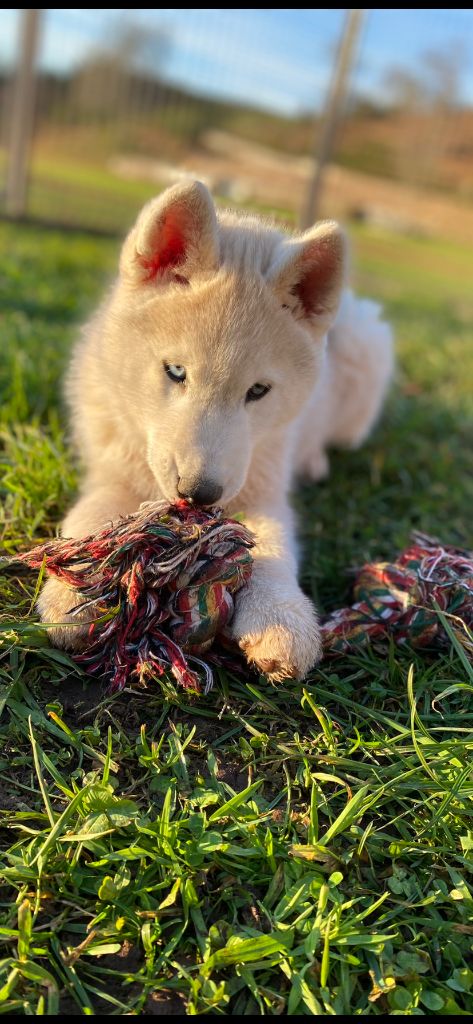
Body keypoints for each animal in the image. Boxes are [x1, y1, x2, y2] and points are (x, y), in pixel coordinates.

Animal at [36, 182, 393, 679]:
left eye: (258, 391)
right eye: (175, 371)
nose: (199, 495)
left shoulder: (263, 486)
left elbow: (275, 546)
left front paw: (282, 618)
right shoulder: (111, 470)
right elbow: (89, 518)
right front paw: (76, 592)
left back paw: (316, 461)